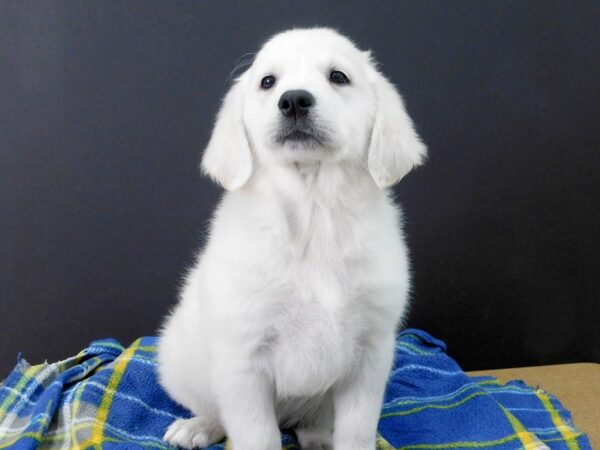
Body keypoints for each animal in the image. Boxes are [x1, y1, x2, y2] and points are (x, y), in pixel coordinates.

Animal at [157, 28, 424, 450]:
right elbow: (258, 436)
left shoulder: (370, 355)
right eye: (268, 82)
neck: (313, 215)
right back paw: (197, 426)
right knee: (216, 410)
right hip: (180, 361)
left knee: (314, 422)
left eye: (338, 77)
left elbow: (356, 431)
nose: (294, 100)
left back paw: (318, 437)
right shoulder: (244, 361)